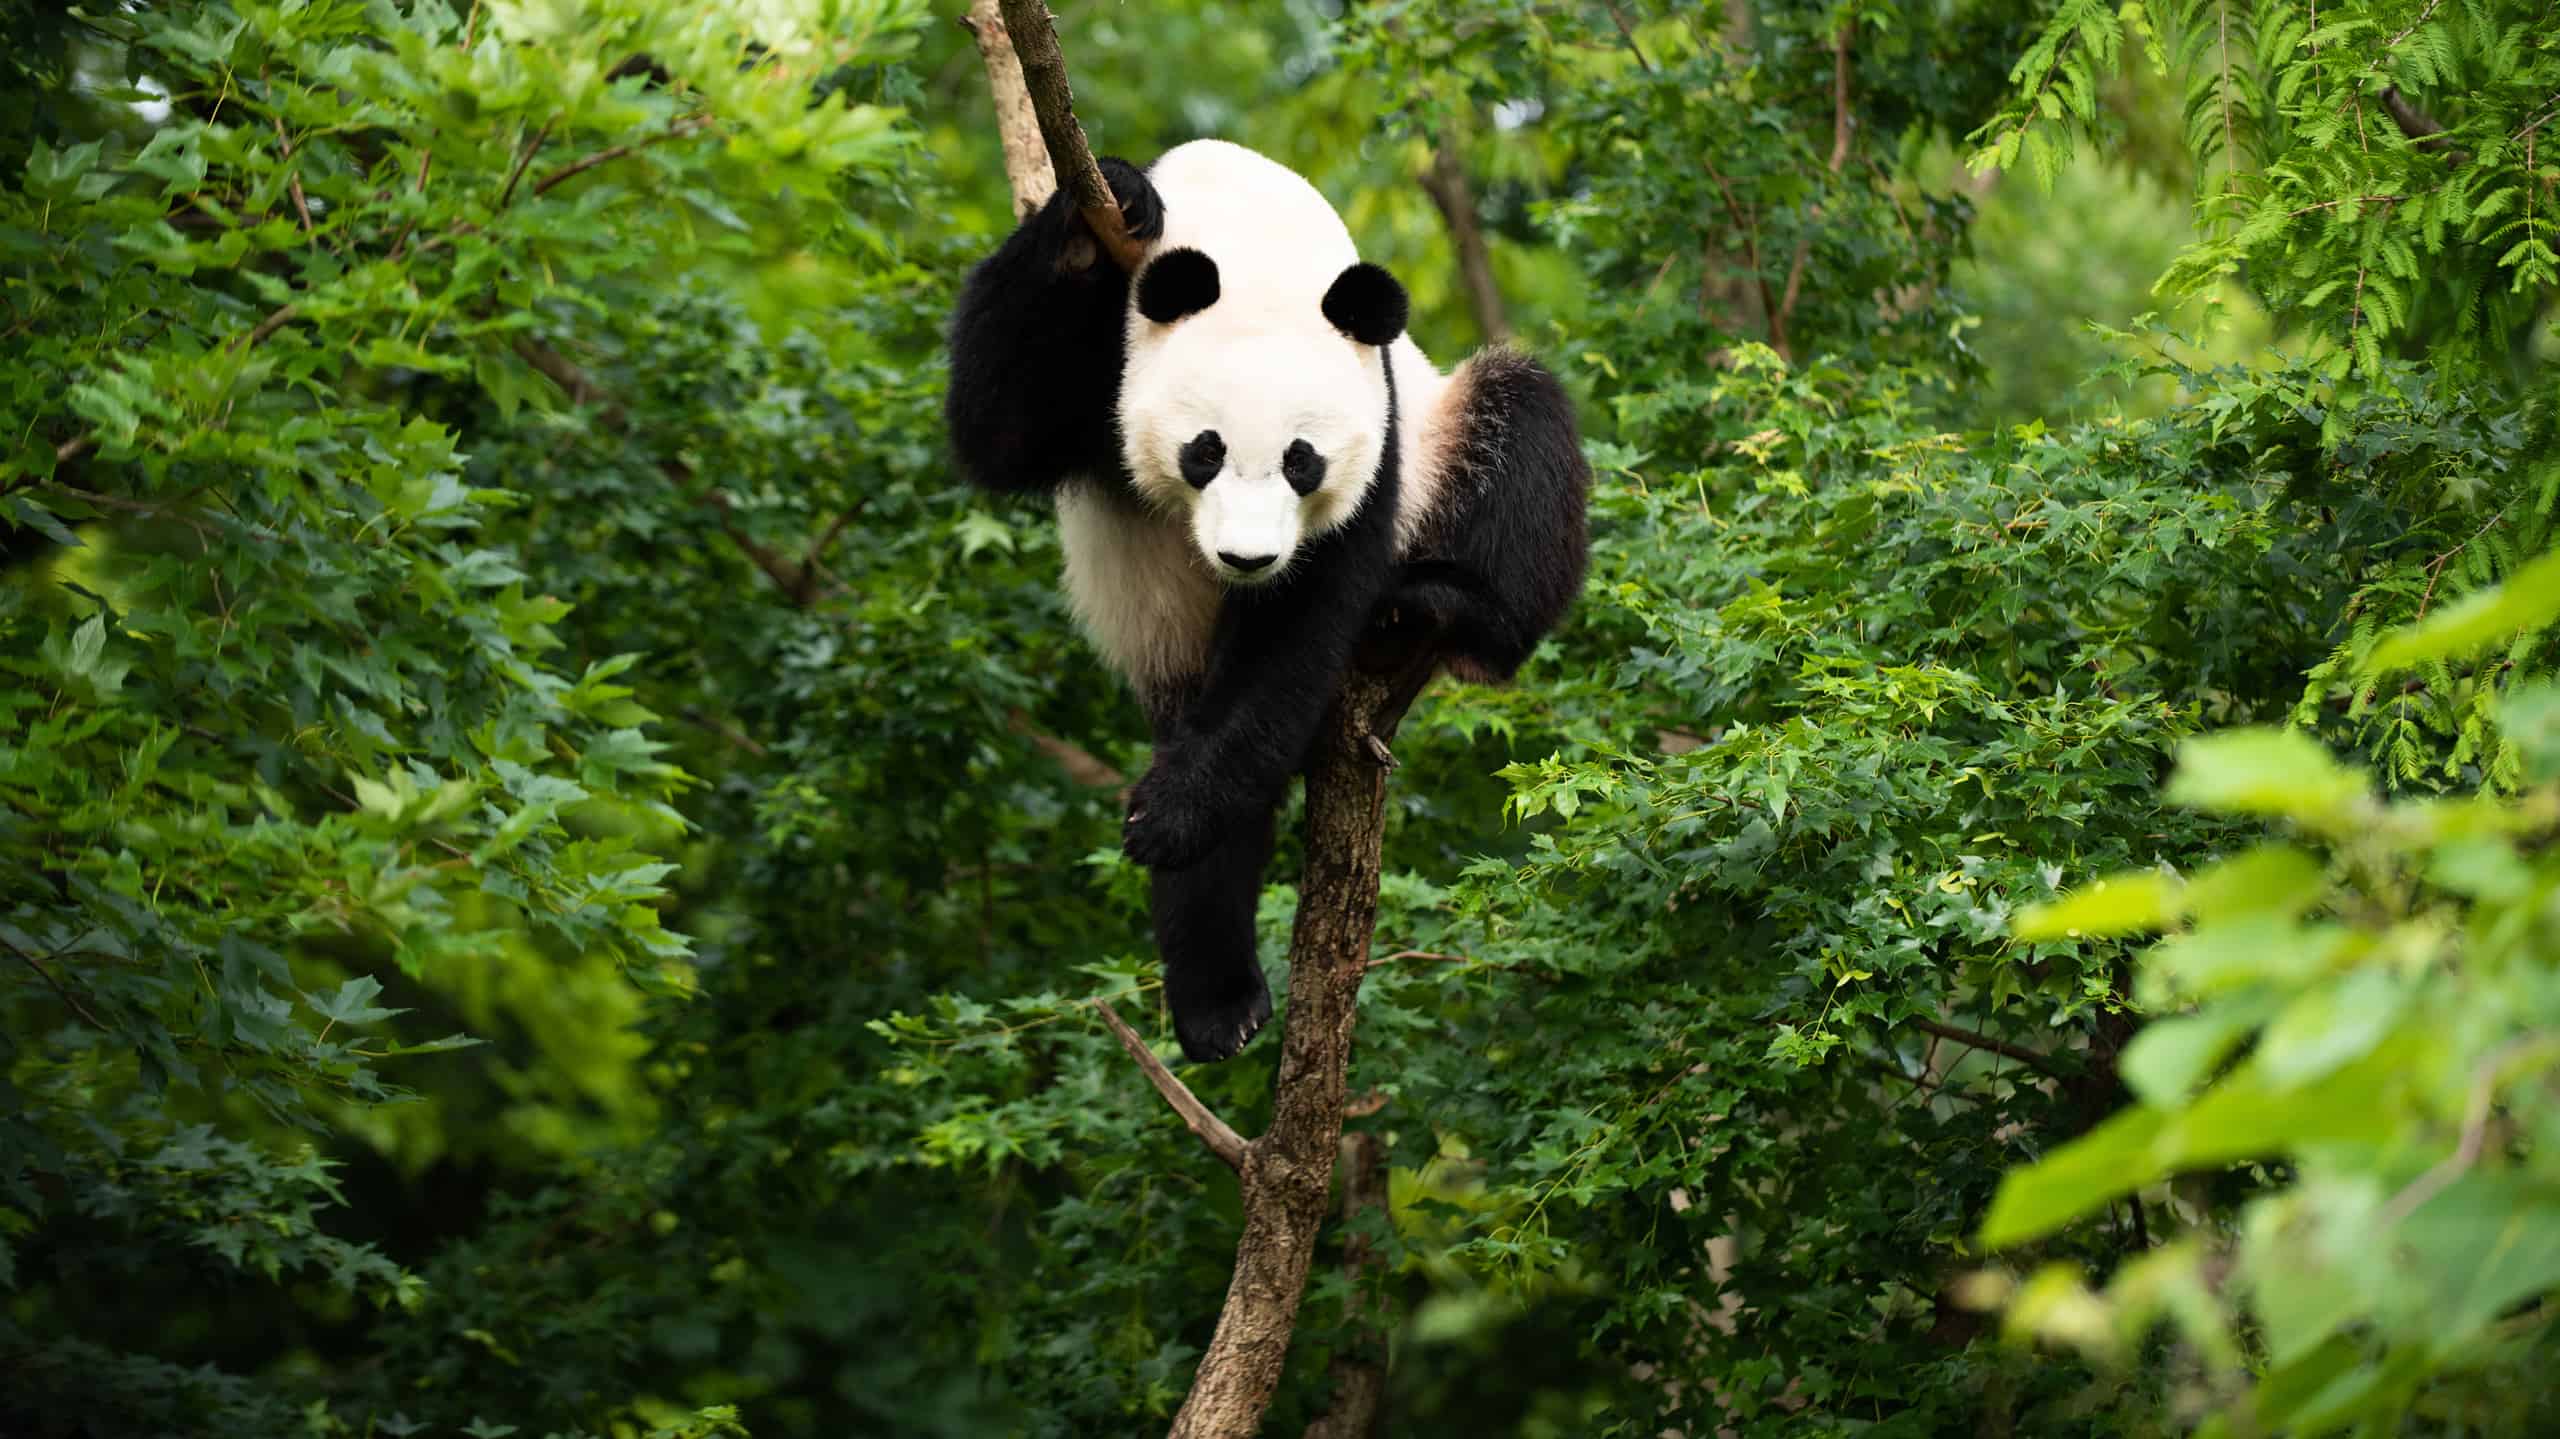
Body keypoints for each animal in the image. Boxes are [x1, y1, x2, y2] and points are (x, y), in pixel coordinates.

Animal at [942, 140, 1576, 1060]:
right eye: (1203, 451)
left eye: (1301, 461)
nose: (1248, 557)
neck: (1257, 246)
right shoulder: (1108, 353)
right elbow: (997, 425)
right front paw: (1106, 201)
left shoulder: (1382, 423)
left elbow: (1299, 621)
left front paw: (1169, 814)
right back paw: (1221, 1003)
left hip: (1448, 440)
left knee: (1524, 424)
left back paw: (1438, 609)